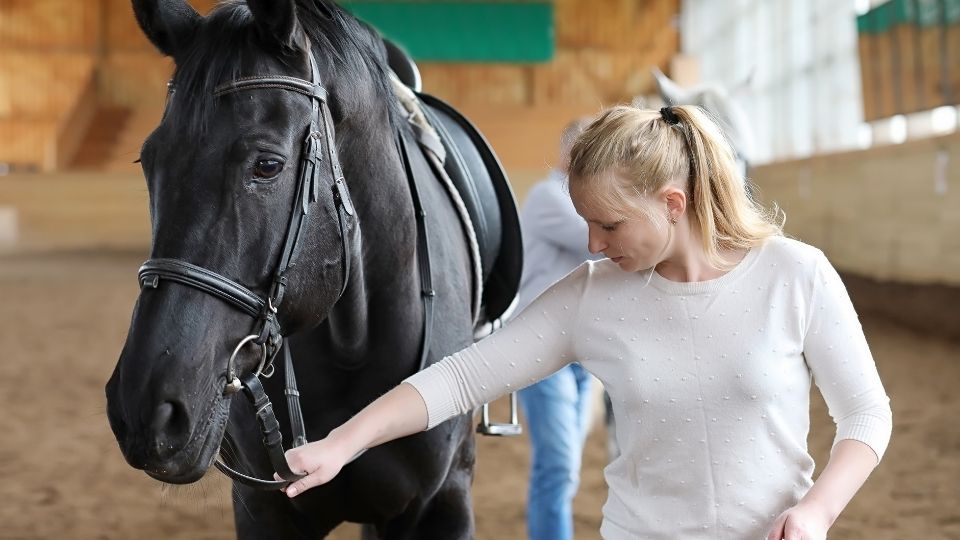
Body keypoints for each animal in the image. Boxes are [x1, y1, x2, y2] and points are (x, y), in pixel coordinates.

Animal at [104, 0, 520, 537]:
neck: (353, 342)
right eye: (148, 161)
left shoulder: (442, 503)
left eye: (267, 165)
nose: (145, 410)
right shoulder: (264, 509)